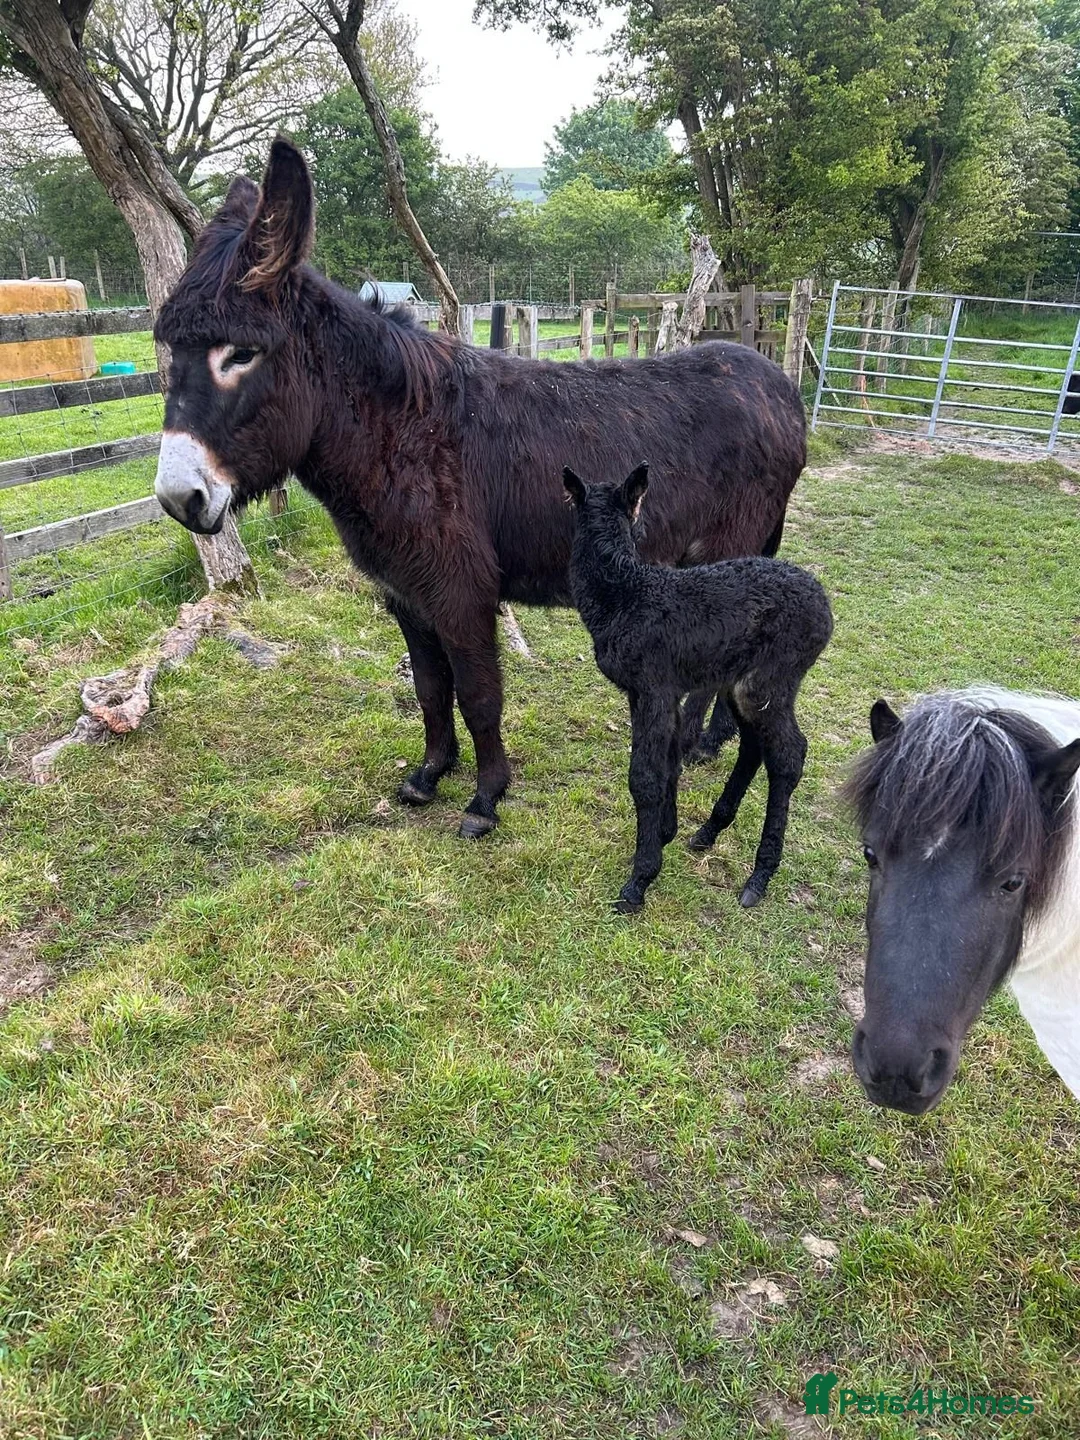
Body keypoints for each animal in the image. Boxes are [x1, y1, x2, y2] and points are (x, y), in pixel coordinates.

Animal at [152, 137, 806, 838]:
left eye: (240, 355)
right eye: (169, 351)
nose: (177, 499)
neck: (401, 434)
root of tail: (778, 383)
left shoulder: (462, 593)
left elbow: (479, 696)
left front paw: (487, 797)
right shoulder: (406, 595)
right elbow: (431, 691)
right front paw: (430, 773)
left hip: (730, 550)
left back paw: (690, 744)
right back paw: (711, 740)